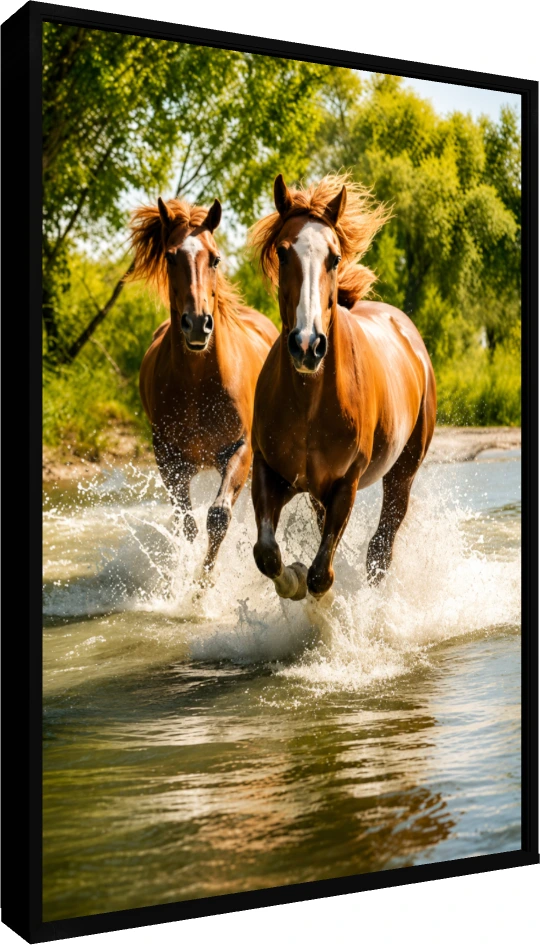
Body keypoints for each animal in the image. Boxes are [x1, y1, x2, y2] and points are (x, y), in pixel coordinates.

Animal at [130, 196, 279, 575]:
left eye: (215, 258)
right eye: (170, 256)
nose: (197, 324)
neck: (198, 383)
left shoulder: (240, 449)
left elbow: (219, 517)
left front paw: (204, 582)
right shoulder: (169, 459)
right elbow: (188, 524)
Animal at [249, 173, 436, 601]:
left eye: (333, 257)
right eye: (283, 252)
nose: (307, 344)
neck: (309, 402)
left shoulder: (344, 485)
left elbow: (322, 574)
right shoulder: (269, 471)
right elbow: (267, 554)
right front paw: (293, 579)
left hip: (402, 473)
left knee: (381, 548)